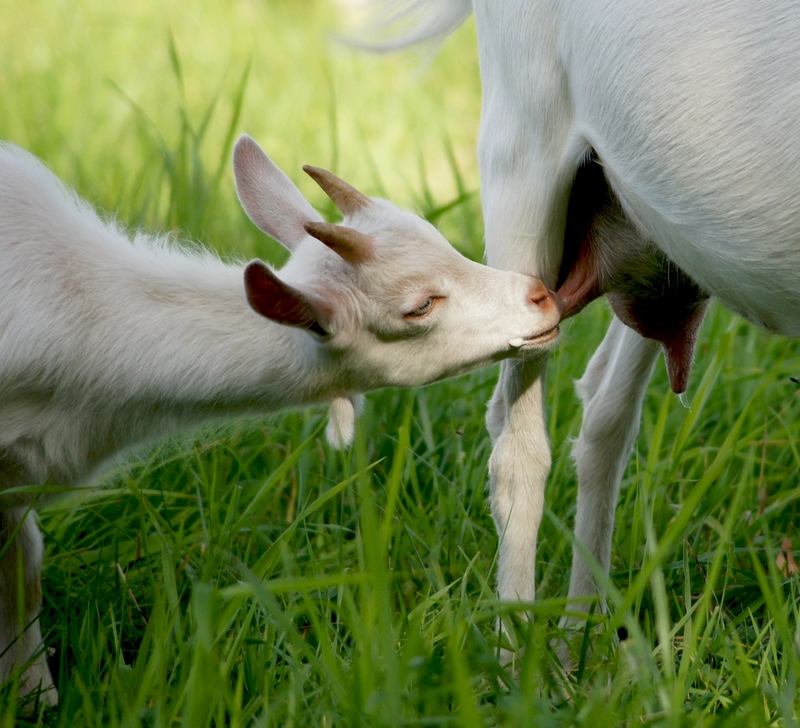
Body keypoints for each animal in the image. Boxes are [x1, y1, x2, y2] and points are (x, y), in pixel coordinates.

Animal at [364, 0, 800, 624]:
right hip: (521, 136)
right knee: (515, 450)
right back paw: (517, 643)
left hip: (652, 232)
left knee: (604, 413)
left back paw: (582, 632)